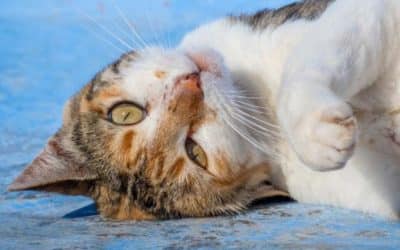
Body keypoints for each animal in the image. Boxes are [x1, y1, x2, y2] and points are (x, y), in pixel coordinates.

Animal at [7, 0, 400, 220]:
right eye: (196, 152)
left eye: (125, 113)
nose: (191, 82)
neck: (258, 97)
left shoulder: (347, 16)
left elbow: (317, 54)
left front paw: (315, 132)